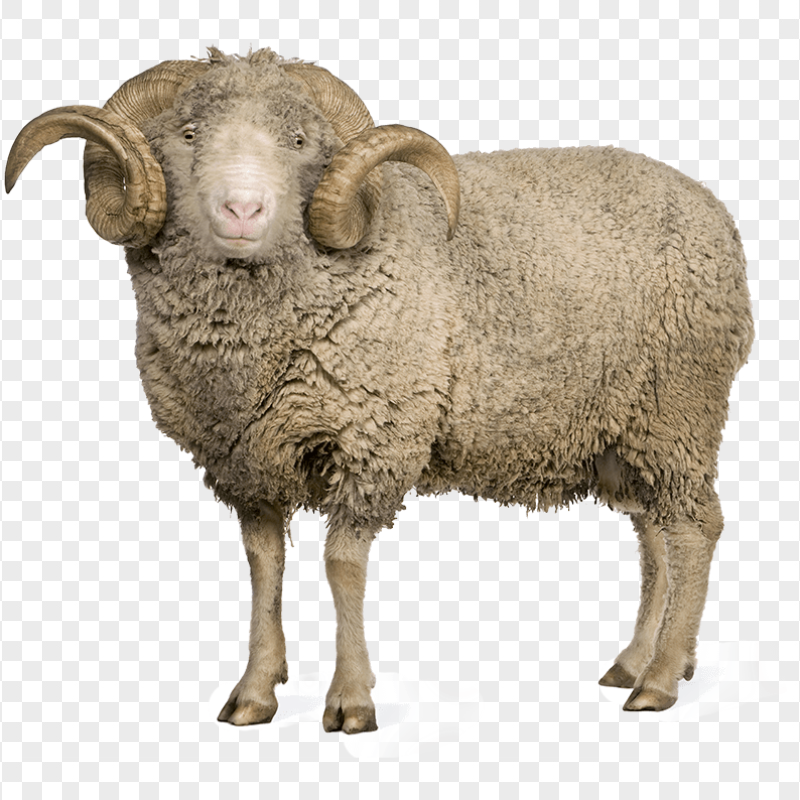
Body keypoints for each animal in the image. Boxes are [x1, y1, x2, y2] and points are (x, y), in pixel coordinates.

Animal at [6, 47, 754, 733]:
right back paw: (637, 660)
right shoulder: (245, 459)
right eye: (188, 134)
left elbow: (342, 566)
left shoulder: (376, 435)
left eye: (299, 141)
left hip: (677, 407)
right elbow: (264, 566)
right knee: (654, 533)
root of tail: (714, 213)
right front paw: (254, 690)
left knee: (695, 529)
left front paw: (350, 700)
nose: (242, 209)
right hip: (621, 431)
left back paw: (659, 679)